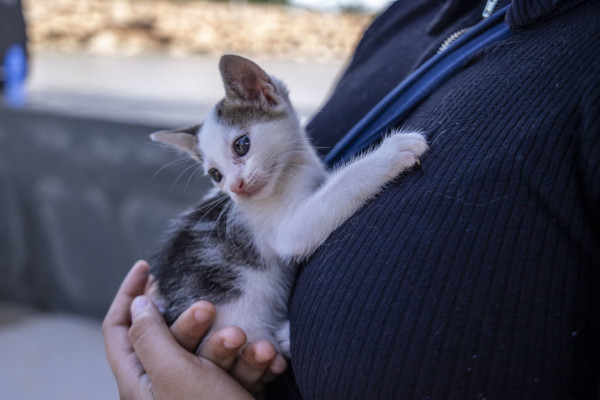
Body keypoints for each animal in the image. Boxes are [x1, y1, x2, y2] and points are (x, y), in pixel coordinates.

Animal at [148, 54, 426, 356]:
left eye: (242, 145)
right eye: (216, 175)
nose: (235, 187)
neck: (289, 172)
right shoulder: (284, 232)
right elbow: (342, 186)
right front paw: (390, 153)